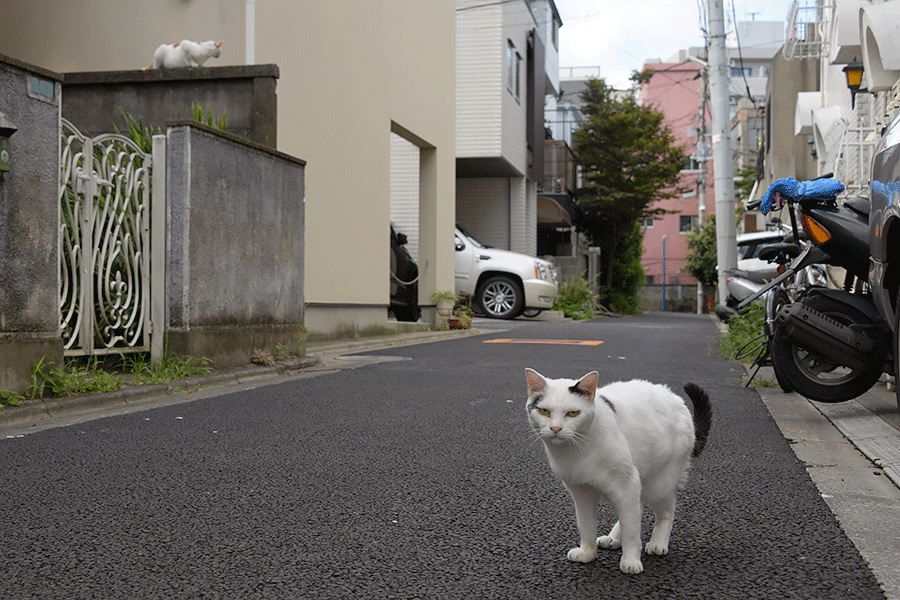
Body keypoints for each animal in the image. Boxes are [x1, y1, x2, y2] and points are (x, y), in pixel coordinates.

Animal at [528, 368, 712, 576]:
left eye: (573, 413)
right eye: (544, 411)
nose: (556, 428)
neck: (577, 451)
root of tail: (676, 398)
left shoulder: (627, 483)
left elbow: (632, 531)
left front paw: (631, 560)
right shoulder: (581, 492)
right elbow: (586, 525)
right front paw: (586, 553)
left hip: (658, 484)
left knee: (665, 512)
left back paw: (658, 543)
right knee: (636, 509)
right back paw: (613, 539)